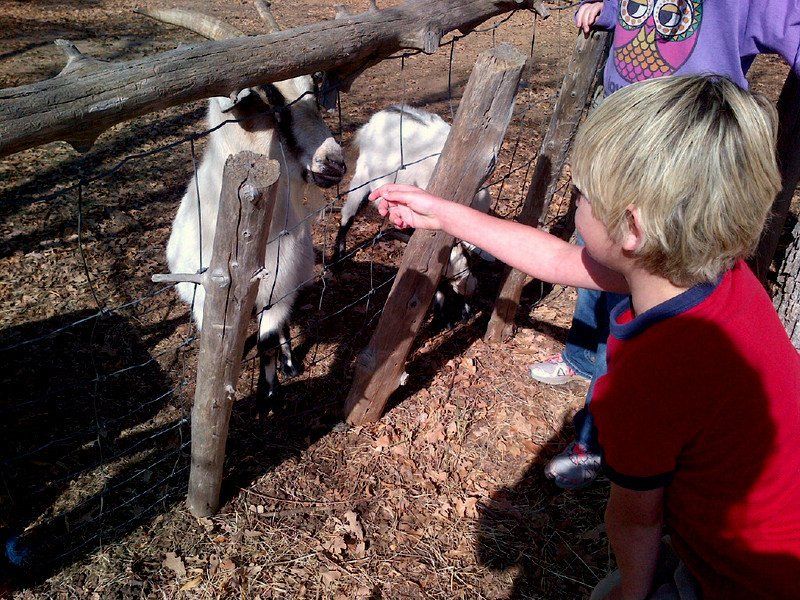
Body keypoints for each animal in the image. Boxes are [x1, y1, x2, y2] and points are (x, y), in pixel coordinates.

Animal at [144, 4, 344, 406]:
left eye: (312, 93)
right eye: (259, 101)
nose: (333, 163)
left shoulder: (279, 292)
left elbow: (268, 339)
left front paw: (270, 390)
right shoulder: (205, 303)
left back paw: (289, 364)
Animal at [332, 105, 494, 326]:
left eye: (470, 261)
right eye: (443, 278)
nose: (468, 288)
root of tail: (376, 118)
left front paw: (462, 311)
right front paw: (444, 314)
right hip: (362, 177)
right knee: (347, 215)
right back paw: (337, 261)